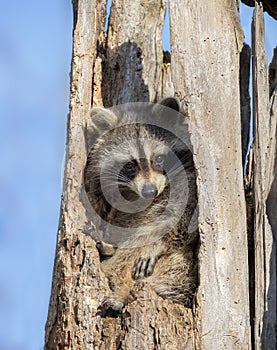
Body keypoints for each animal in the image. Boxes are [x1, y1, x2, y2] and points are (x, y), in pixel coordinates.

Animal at [83, 96, 197, 312]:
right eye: (130, 164)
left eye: (159, 158)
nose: (149, 191)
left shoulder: (190, 180)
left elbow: (185, 217)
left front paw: (157, 244)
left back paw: (122, 289)